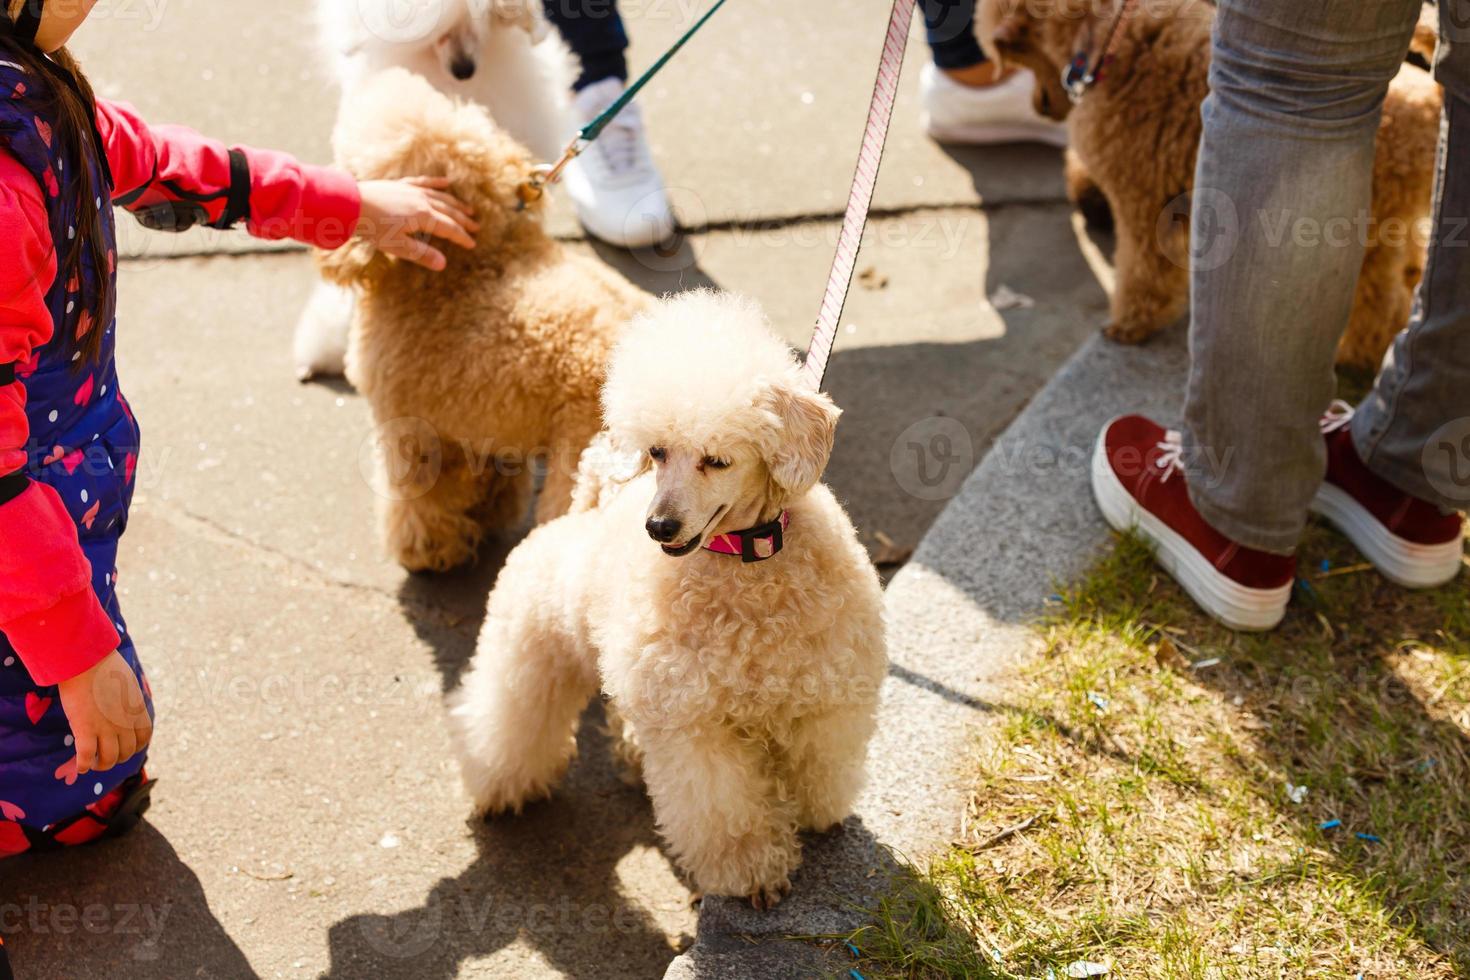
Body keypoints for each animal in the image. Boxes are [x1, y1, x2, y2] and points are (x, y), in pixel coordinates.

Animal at [321, 69, 649, 570]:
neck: (464, 265)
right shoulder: (485, 428)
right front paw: (489, 517)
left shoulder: (408, 428)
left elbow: (419, 499)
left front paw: (426, 551)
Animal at [981, 0, 1440, 367]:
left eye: (1016, 52)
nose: (1039, 107)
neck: (1113, 42)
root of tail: (1428, 103)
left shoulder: (1141, 202)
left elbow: (1141, 274)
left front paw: (1129, 325)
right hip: (1388, 227)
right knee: (1406, 274)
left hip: (1357, 232)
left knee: (1380, 307)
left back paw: (1352, 354)